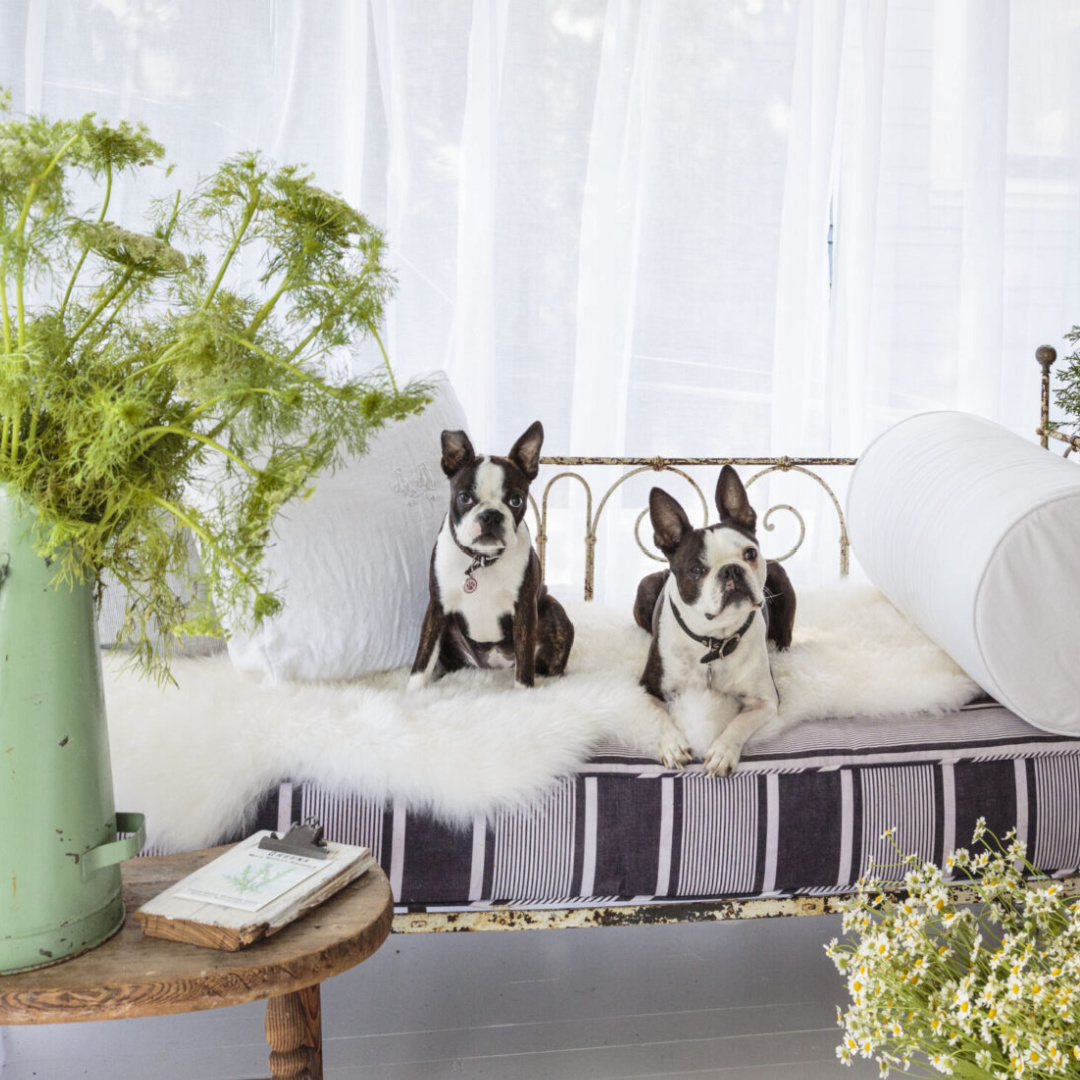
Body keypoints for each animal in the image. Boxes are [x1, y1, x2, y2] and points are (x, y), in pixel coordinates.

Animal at [406, 421, 574, 691]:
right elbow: (423, 657)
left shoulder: (525, 609)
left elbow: (525, 660)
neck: (481, 560)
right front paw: (412, 691)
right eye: (464, 497)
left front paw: (525, 693)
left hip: (552, 609)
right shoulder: (437, 608)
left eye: (516, 500)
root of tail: (494, 667)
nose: (491, 515)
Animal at [630, 464, 794, 777]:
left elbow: (739, 722)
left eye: (750, 553)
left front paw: (722, 751)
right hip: (643, 589)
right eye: (696, 569)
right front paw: (671, 744)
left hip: (782, 580)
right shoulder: (646, 688)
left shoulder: (766, 700)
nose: (731, 570)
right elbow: (658, 714)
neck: (715, 638)